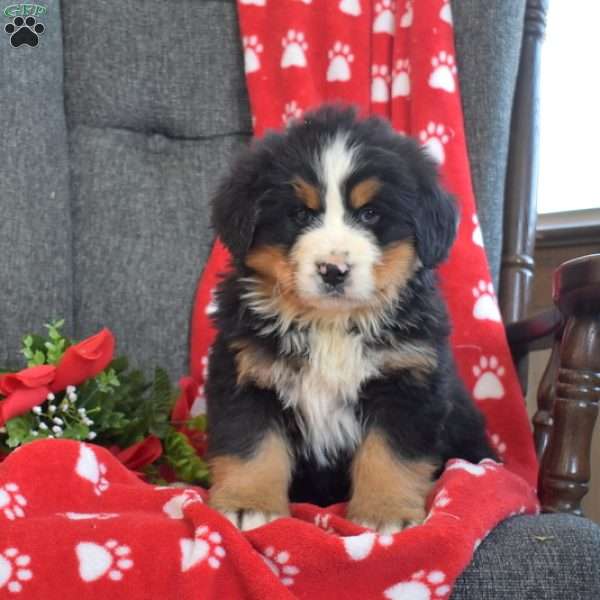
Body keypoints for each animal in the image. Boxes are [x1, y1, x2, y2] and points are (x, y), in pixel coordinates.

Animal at [204, 105, 494, 532]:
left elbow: (390, 454)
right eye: (300, 214)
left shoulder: (406, 381)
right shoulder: (246, 373)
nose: (333, 269)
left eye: (370, 213)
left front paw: (385, 513)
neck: (330, 326)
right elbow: (251, 445)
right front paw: (247, 504)